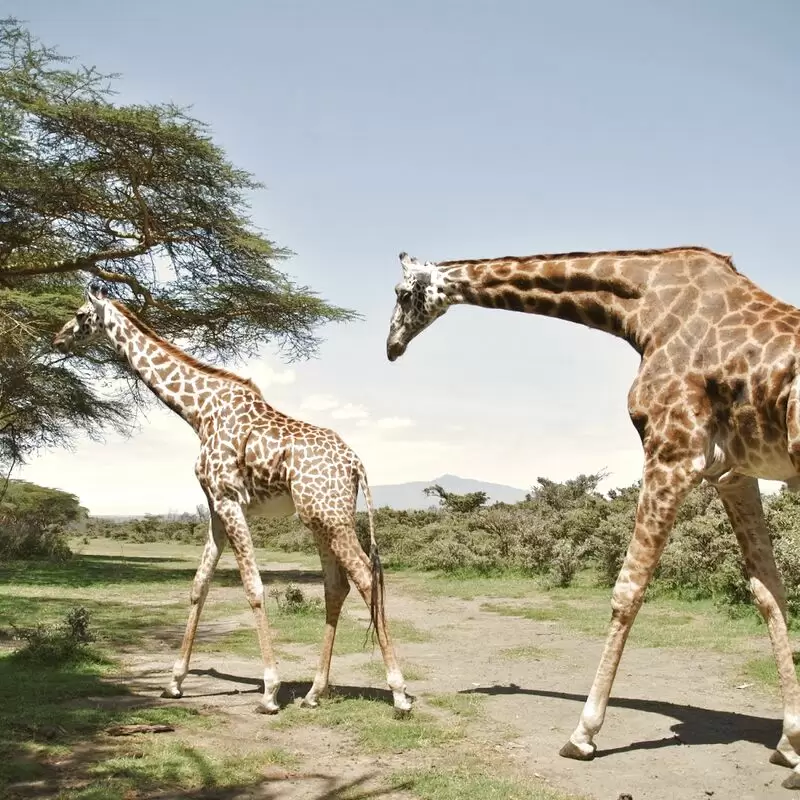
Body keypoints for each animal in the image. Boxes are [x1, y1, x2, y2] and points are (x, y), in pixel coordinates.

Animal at [54, 284, 412, 716]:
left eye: (79, 314)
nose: (57, 338)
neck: (198, 412)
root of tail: (356, 463)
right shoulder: (214, 506)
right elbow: (199, 585)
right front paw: (174, 683)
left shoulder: (228, 499)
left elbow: (254, 587)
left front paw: (270, 692)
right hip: (319, 517)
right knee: (336, 586)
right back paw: (314, 692)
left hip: (331, 516)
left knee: (365, 578)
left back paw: (398, 692)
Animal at [384, 247, 800, 784]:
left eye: (402, 293)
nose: (391, 347)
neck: (645, 310)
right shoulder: (733, 473)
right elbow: (769, 593)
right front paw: (789, 744)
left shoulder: (673, 451)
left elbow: (627, 590)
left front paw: (582, 735)